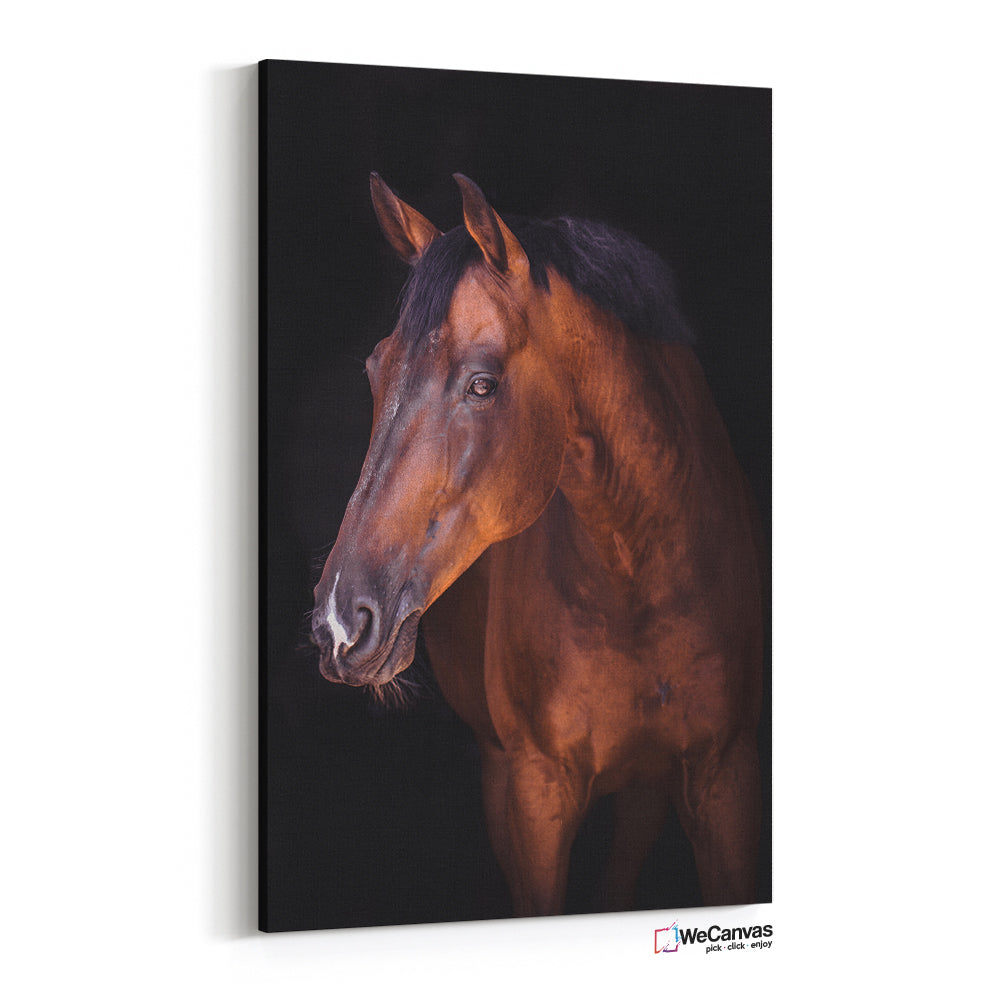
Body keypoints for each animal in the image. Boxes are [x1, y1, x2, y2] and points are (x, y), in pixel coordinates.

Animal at [311, 172, 764, 918]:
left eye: (483, 382)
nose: (339, 622)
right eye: (377, 371)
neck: (642, 579)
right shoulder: (534, 794)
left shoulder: (725, 778)